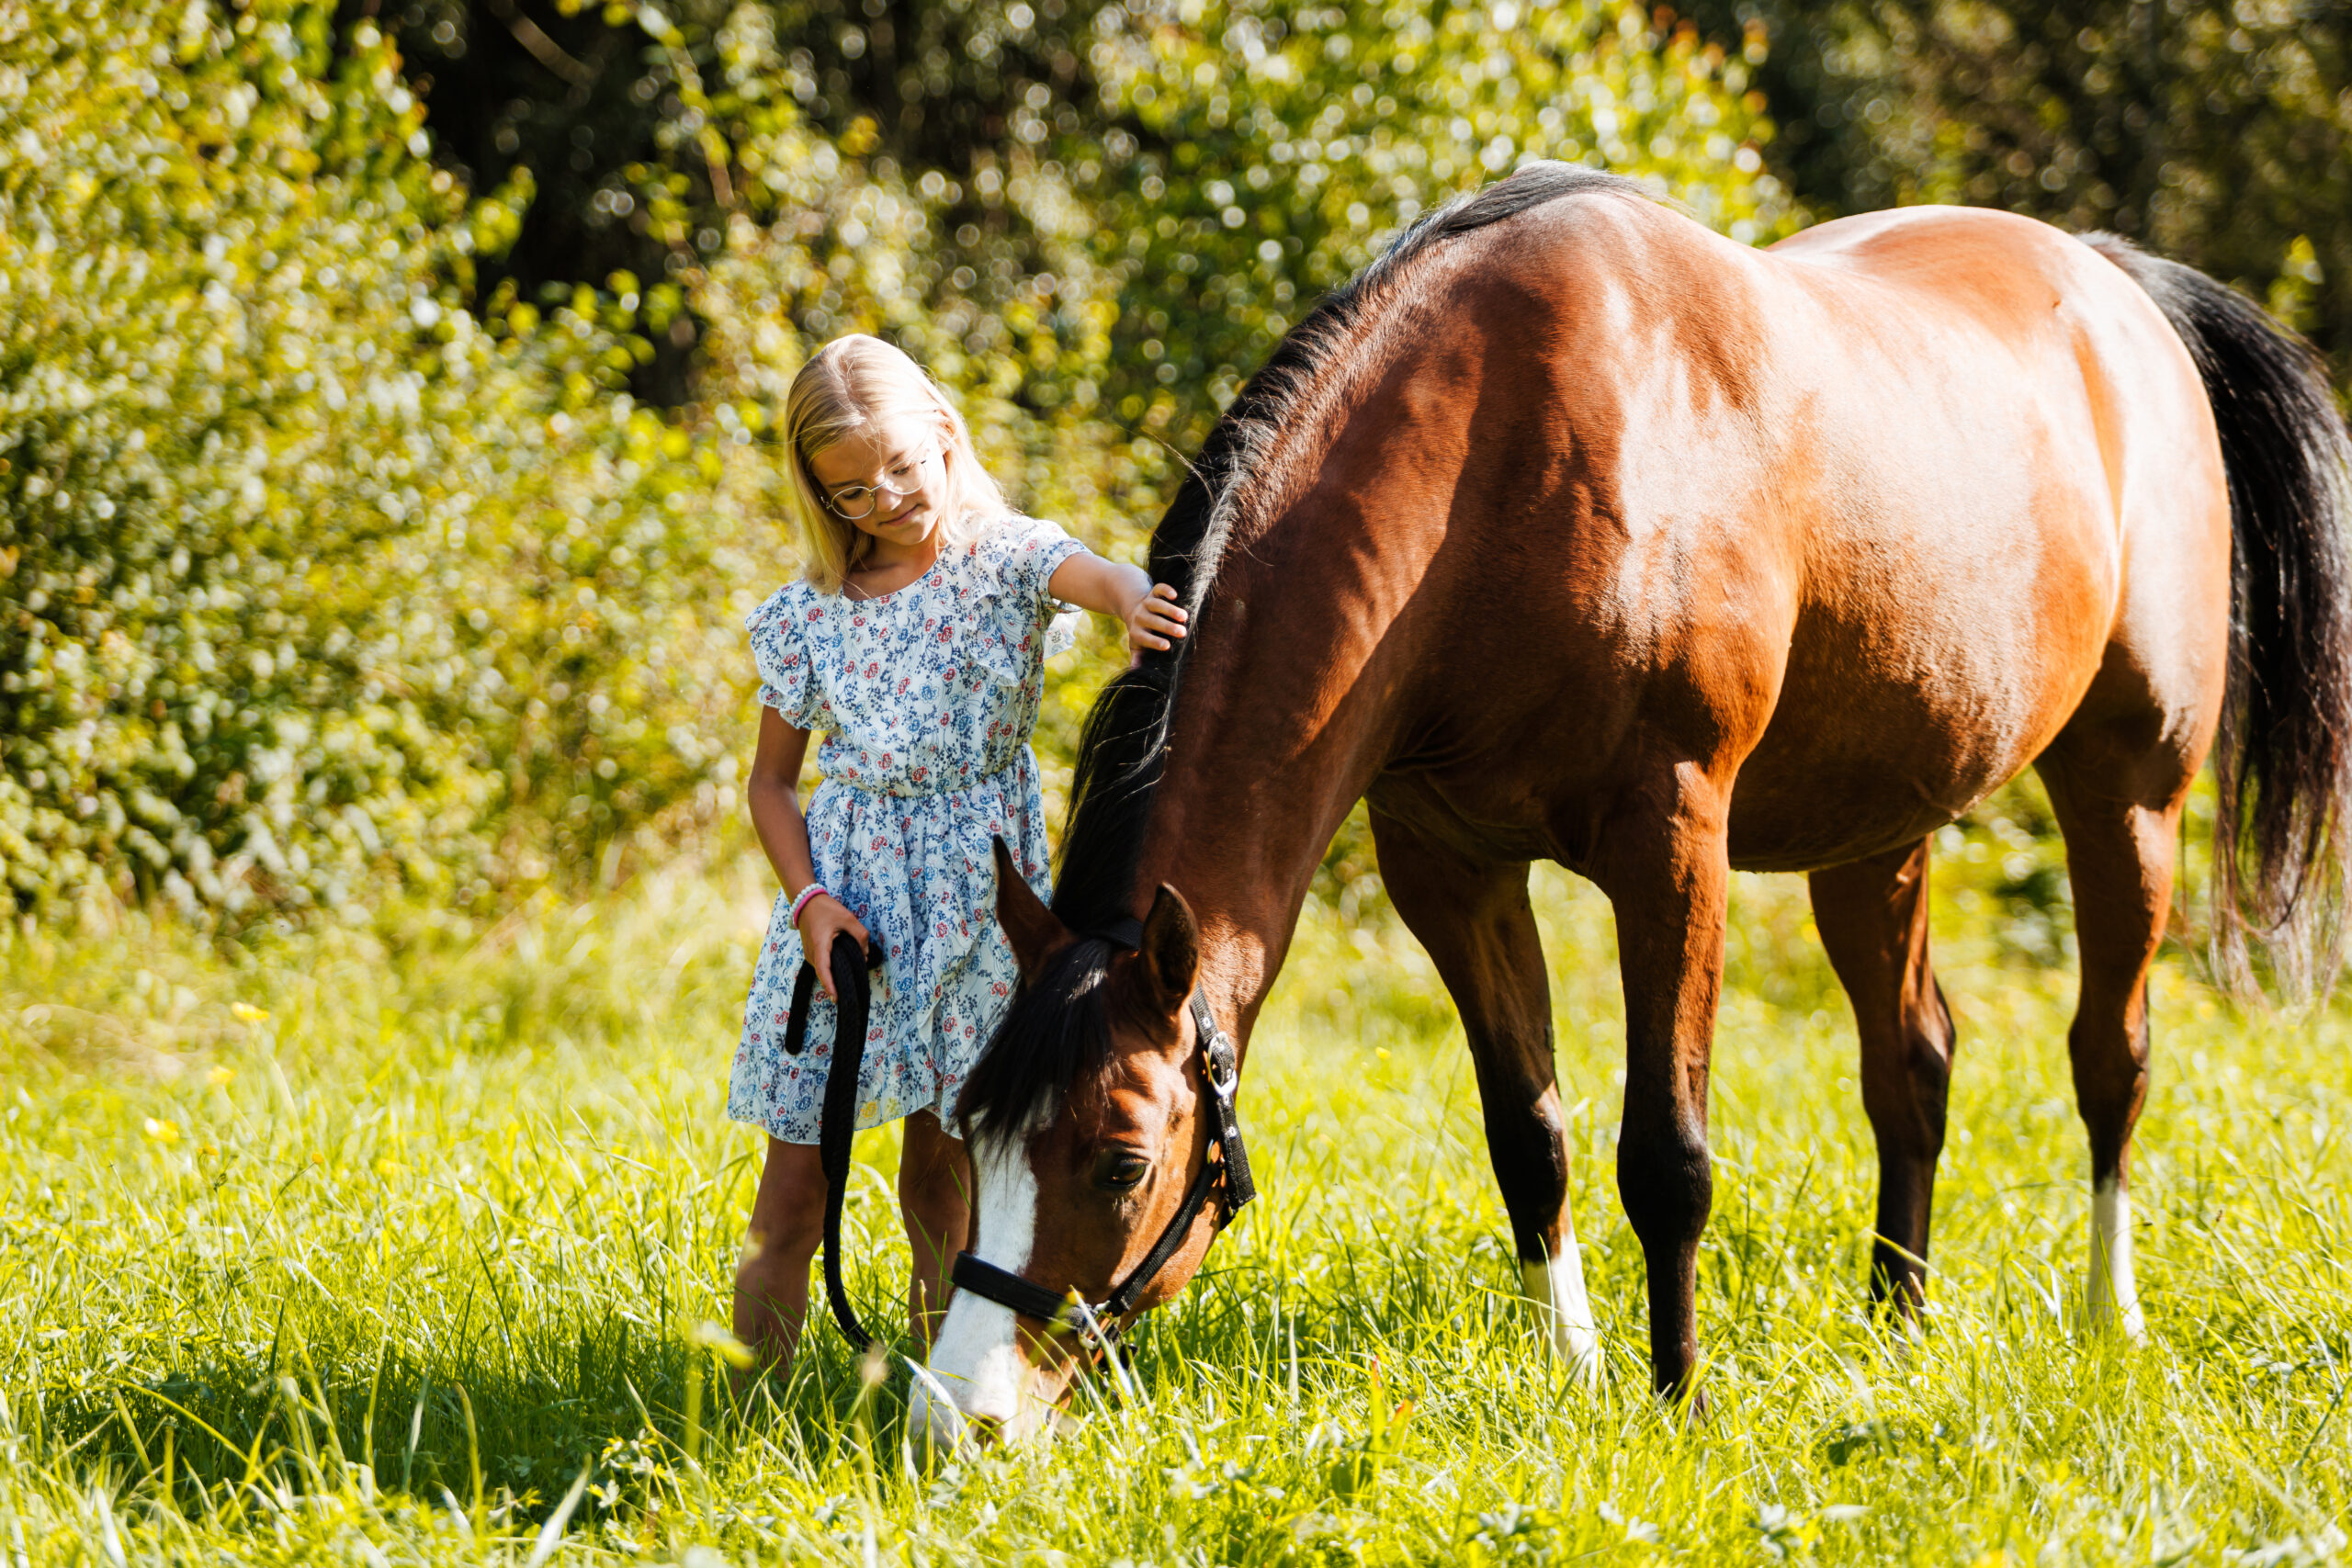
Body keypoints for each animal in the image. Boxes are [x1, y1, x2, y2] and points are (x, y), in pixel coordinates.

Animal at [913, 163, 2352, 1441]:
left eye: (1121, 1158)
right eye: (971, 1131)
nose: (960, 1417)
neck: (1497, 465)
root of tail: (2114, 282)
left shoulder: (1672, 844)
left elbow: (1664, 1156)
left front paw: (1677, 1397)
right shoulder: (1449, 865)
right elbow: (1529, 1132)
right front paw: (1579, 1365)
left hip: (2129, 791)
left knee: (2112, 1058)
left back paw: (2111, 1316)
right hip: (1875, 830)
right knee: (1913, 1064)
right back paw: (1896, 1316)